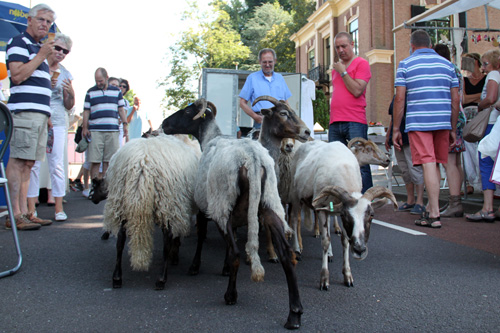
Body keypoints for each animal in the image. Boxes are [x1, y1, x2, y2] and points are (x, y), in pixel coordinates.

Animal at [162, 98, 308, 330]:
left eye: (186, 111)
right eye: (284, 113)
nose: (164, 124)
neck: (211, 137)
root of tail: (253, 159)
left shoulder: (206, 205)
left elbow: (203, 236)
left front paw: (195, 266)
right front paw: (223, 268)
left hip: (223, 204)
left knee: (236, 253)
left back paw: (230, 295)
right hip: (270, 203)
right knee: (287, 255)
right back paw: (294, 314)